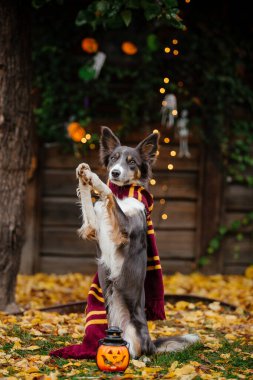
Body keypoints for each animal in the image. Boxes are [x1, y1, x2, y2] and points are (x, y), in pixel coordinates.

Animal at [76, 127, 199, 360]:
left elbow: (108, 193)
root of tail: (151, 342)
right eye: (113, 159)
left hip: (135, 332)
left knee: (140, 352)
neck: (123, 193)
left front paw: (96, 180)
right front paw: (84, 175)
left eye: (131, 162)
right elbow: (89, 201)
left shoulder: (124, 229)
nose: (114, 173)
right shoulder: (93, 228)